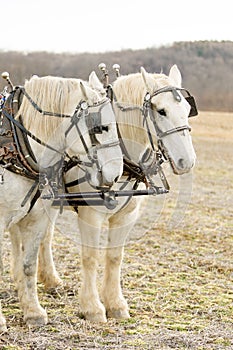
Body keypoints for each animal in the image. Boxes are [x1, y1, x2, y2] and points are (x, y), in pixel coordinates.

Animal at [37, 65, 196, 322]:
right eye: (161, 111)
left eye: (188, 110)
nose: (187, 161)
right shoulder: (90, 215)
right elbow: (90, 257)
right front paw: (92, 307)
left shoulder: (126, 216)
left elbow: (114, 257)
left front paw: (116, 304)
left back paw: (51, 280)